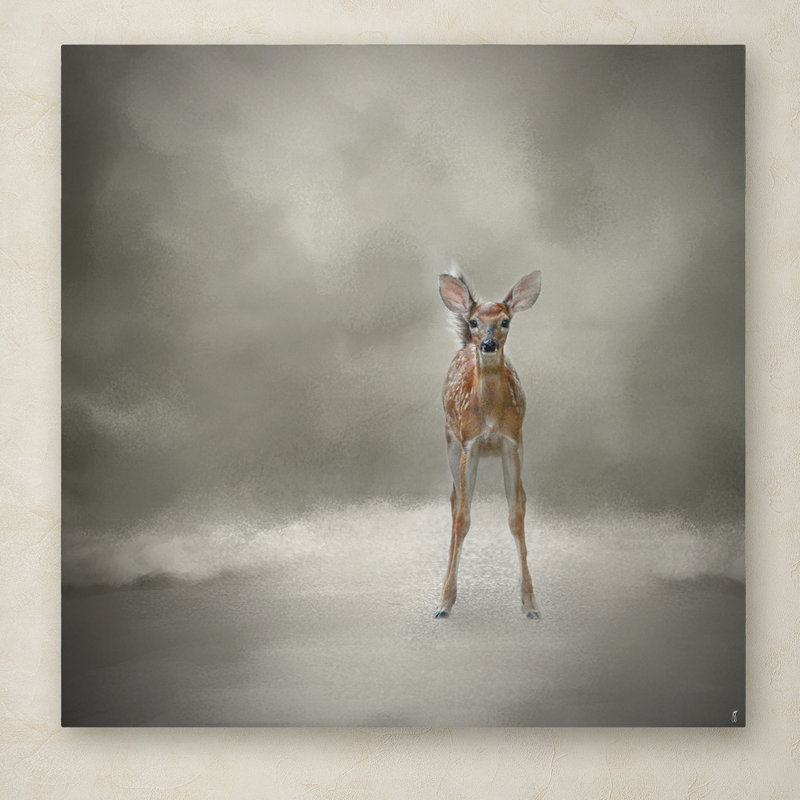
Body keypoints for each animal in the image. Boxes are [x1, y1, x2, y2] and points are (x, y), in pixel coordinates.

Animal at [435, 267, 542, 619]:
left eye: (505, 320)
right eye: (473, 321)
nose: (488, 343)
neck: (492, 417)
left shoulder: (513, 442)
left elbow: (516, 515)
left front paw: (530, 603)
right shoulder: (470, 443)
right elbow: (463, 518)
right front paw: (444, 602)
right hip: (451, 441)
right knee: (454, 502)